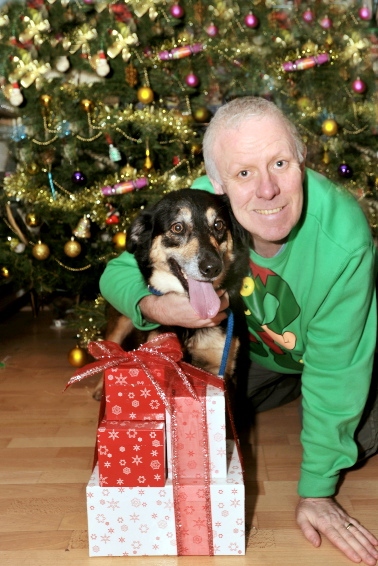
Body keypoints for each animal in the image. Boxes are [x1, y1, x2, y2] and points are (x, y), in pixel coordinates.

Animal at [93, 191, 250, 404]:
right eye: (177, 227)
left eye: (218, 225)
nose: (212, 268)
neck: (188, 328)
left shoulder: (222, 369)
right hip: (120, 320)